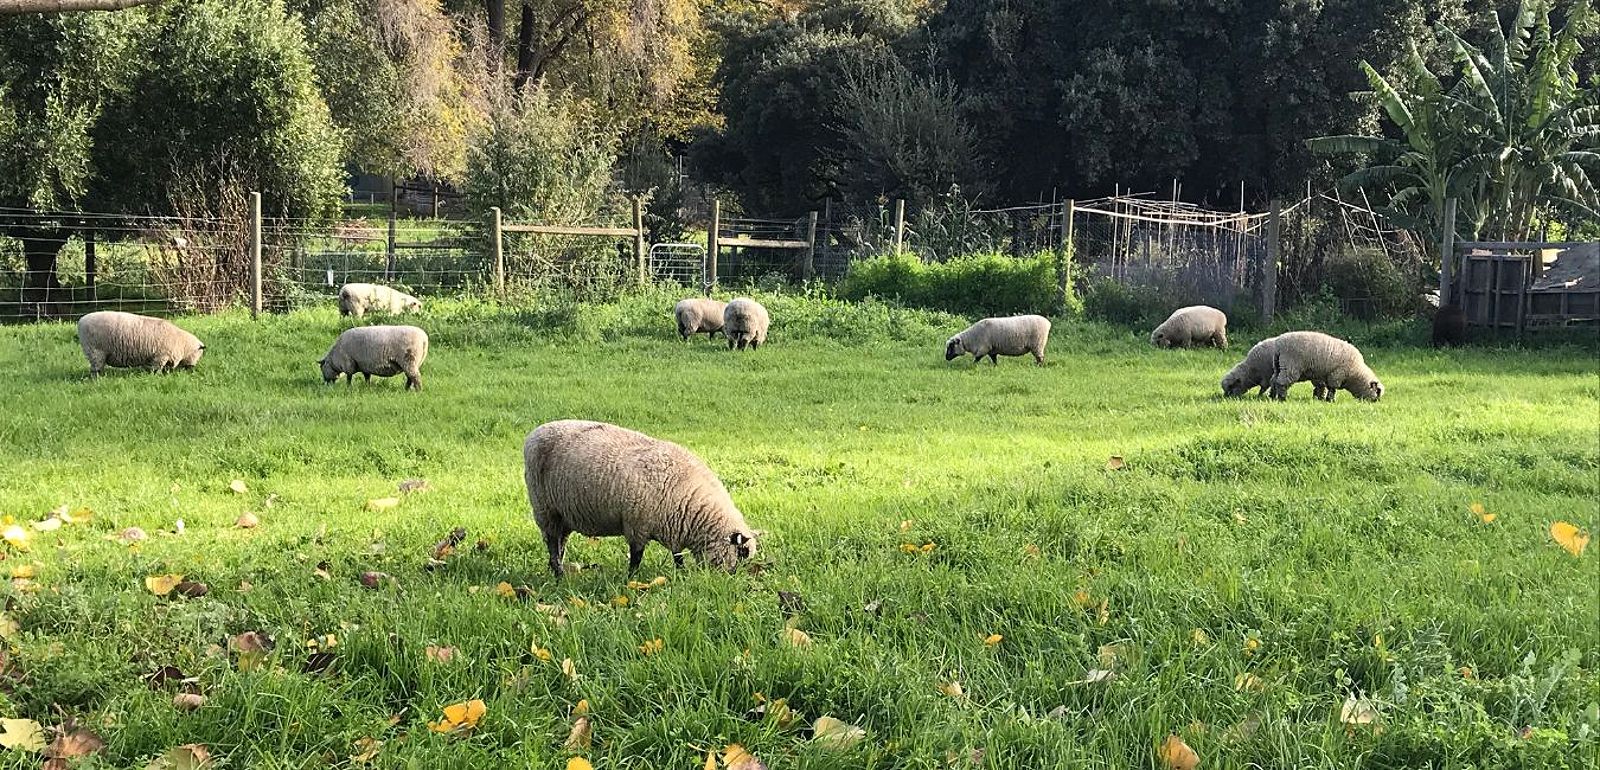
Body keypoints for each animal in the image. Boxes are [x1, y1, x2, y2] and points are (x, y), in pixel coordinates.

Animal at [78, 308, 206, 374]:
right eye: (199, 353)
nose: (192, 369)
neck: (182, 343)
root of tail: (81, 321)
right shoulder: (161, 356)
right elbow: (157, 368)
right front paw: (156, 376)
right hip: (95, 350)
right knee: (96, 369)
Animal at [518, 419, 755, 576]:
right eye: (742, 552)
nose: (732, 579)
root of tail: (533, 434)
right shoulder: (637, 525)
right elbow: (636, 557)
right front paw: (630, 578)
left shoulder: (674, 527)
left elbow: (677, 555)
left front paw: (680, 574)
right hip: (545, 508)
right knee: (551, 542)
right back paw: (559, 574)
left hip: (564, 514)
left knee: (560, 542)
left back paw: (556, 568)